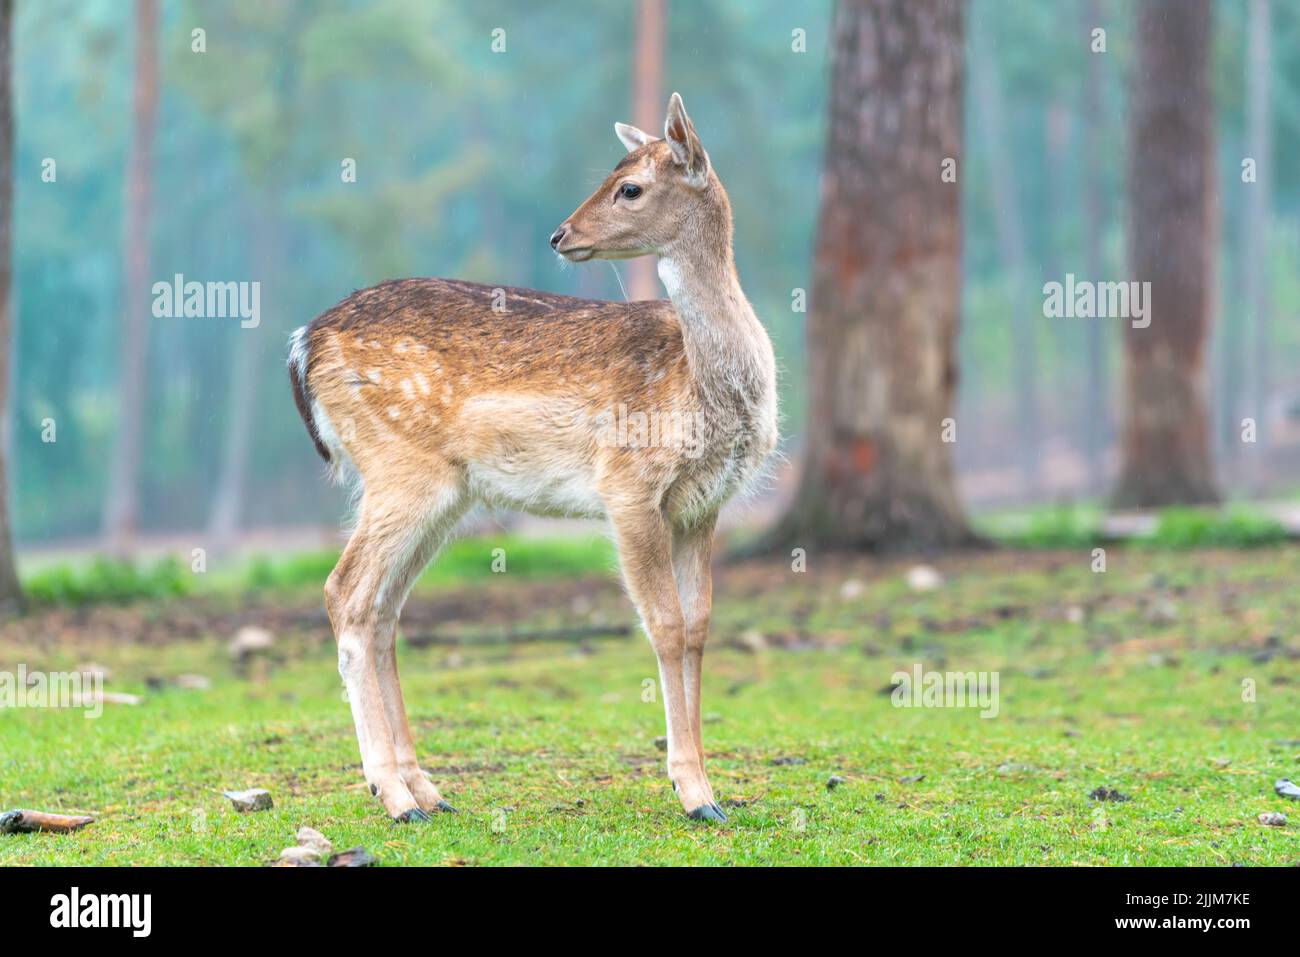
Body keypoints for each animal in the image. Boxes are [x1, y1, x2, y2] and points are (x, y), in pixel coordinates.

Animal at [289, 95, 774, 821]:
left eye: (629, 187)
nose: (559, 235)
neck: (700, 384)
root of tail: (303, 343)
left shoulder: (702, 505)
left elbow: (698, 627)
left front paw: (712, 790)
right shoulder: (628, 484)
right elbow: (662, 625)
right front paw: (692, 792)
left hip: (442, 494)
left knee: (383, 609)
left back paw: (426, 788)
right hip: (402, 469)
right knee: (345, 591)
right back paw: (393, 794)